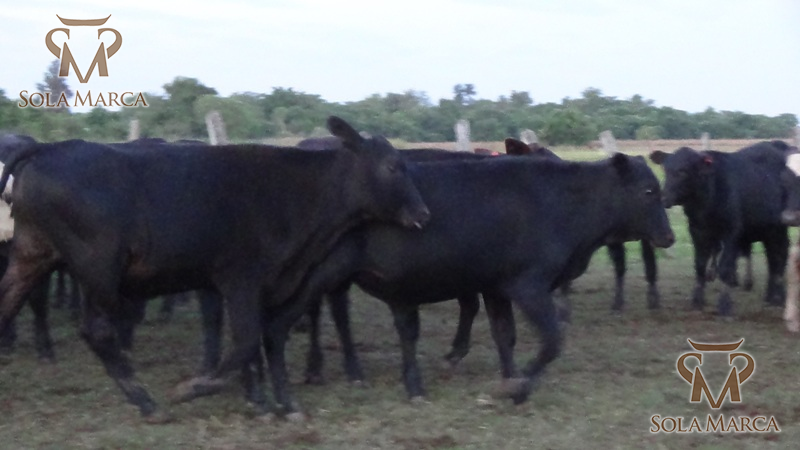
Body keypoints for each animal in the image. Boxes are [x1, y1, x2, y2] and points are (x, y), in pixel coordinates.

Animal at [0, 116, 430, 421]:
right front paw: (196, 388)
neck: (296, 192)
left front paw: (260, 398)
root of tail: (47, 149)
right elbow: (244, 342)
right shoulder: (242, 279)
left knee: (8, 303)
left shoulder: (263, 286)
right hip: (97, 268)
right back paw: (147, 403)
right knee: (98, 330)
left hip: (31, 254)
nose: (423, 212)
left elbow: (256, 344)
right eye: (394, 167)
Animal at [276, 152, 674, 405]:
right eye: (648, 191)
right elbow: (551, 341)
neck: (563, 204)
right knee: (290, 320)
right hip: (314, 276)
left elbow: (505, 336)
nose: (669, 236)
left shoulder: (494, 286)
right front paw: (519, 388)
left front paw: (509, 378)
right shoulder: (528, 285)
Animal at [650, 142, 789, 316]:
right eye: (666, 169)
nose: (664, 198)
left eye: (683, 170)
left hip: (778, 229)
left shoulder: (731, 233)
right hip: (767, 231)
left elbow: (726, 268)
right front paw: (697, 301)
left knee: (780, 257)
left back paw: (779, 298)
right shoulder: (697, 231)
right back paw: (770, 297)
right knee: (772, 259)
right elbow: (700, 265)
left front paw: (725, 305)